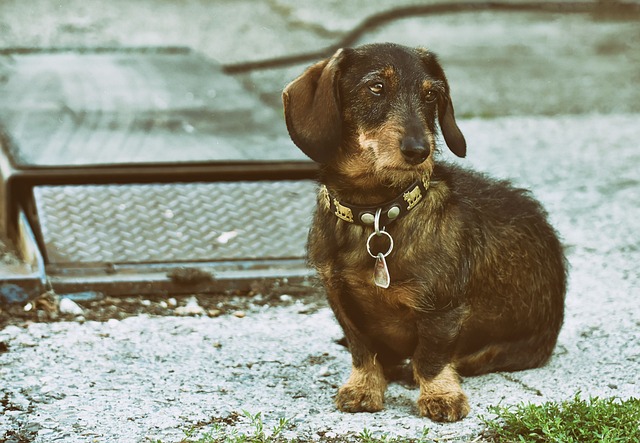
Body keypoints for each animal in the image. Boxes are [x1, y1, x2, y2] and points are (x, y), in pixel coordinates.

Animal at [280, 42, 564, 424]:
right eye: (376, 88)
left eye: (431, 96)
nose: (419, 150)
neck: (377, 212)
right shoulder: (339, 296)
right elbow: (362, 349)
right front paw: (364, 388)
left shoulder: (442, 309)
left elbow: (430, 357)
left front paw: (440, 395)